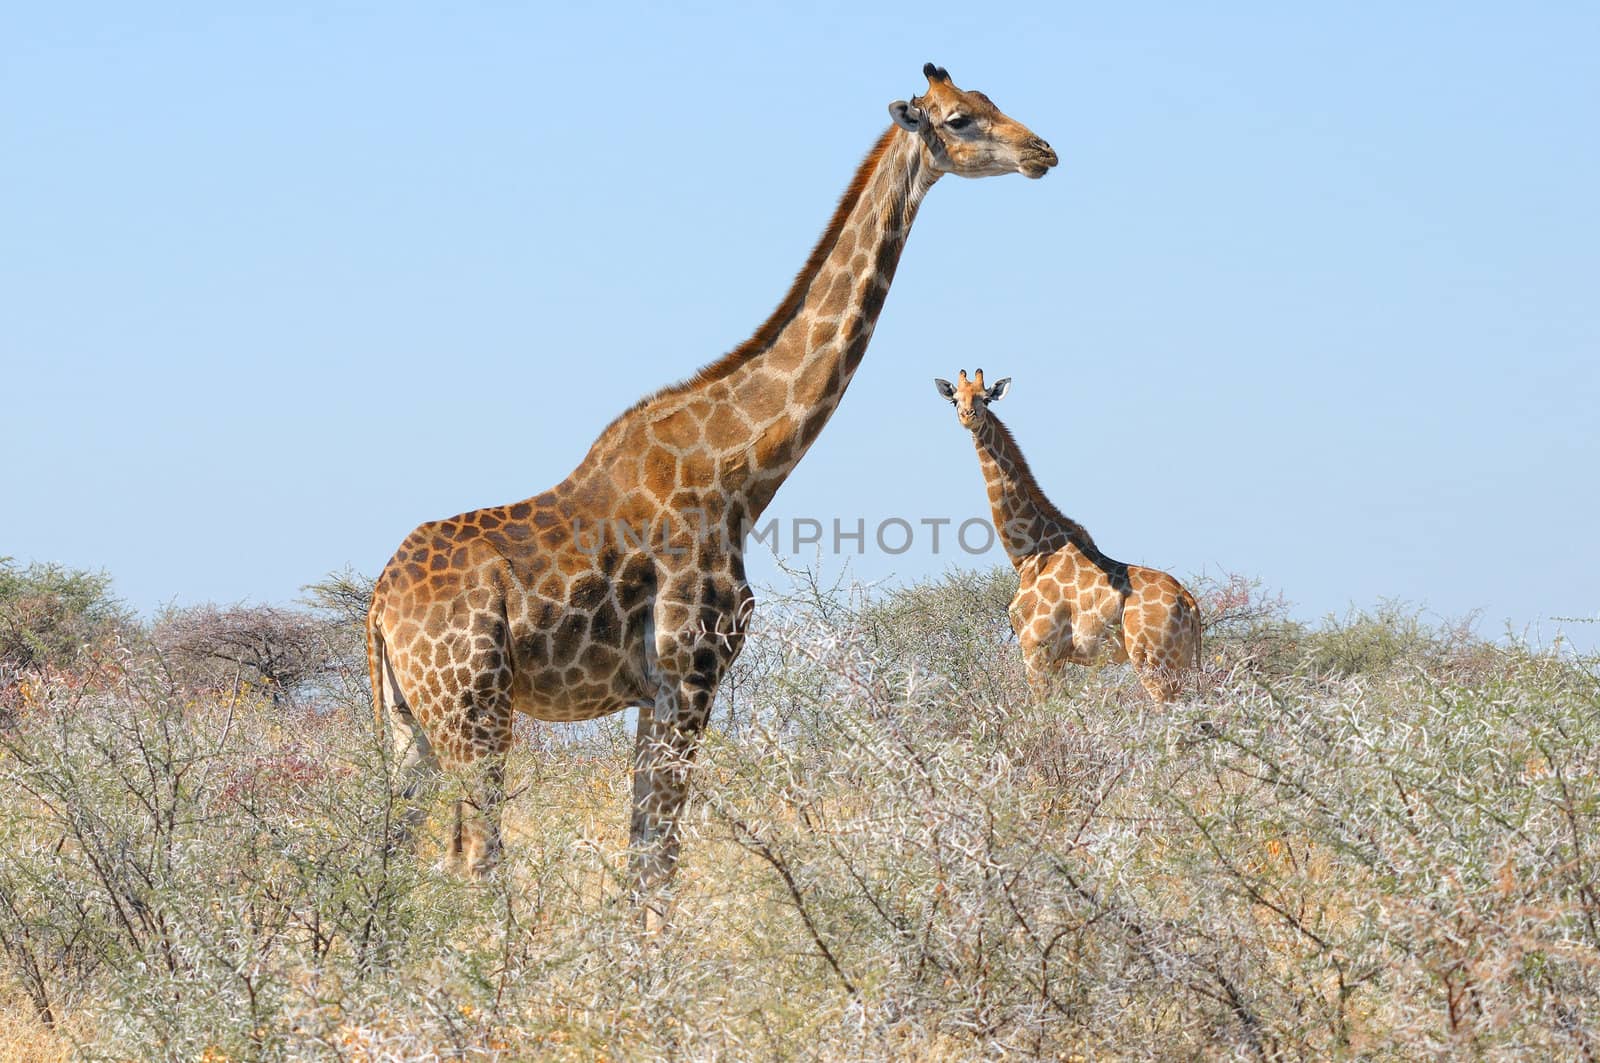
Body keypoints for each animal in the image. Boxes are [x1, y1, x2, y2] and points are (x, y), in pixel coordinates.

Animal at [366, 62, 1056, 915]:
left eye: (992, 102)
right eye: (960, 118)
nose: (1043, 152)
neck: (742, 473)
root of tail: (378, 604)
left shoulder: (655, 693)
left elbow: (644, 856)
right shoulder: (688, 673)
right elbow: (657, 859)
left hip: (410, 726)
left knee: (391, 854)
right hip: (474, 709)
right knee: (473, 857)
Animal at [928, 369, 1203, 701]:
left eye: (985, 398)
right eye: (955, 399)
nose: (968, 416)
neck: (1029, 553)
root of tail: (1189, 601)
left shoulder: (1036, 648)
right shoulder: (1057, 658)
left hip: (1151, 659)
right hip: (1179, 662)